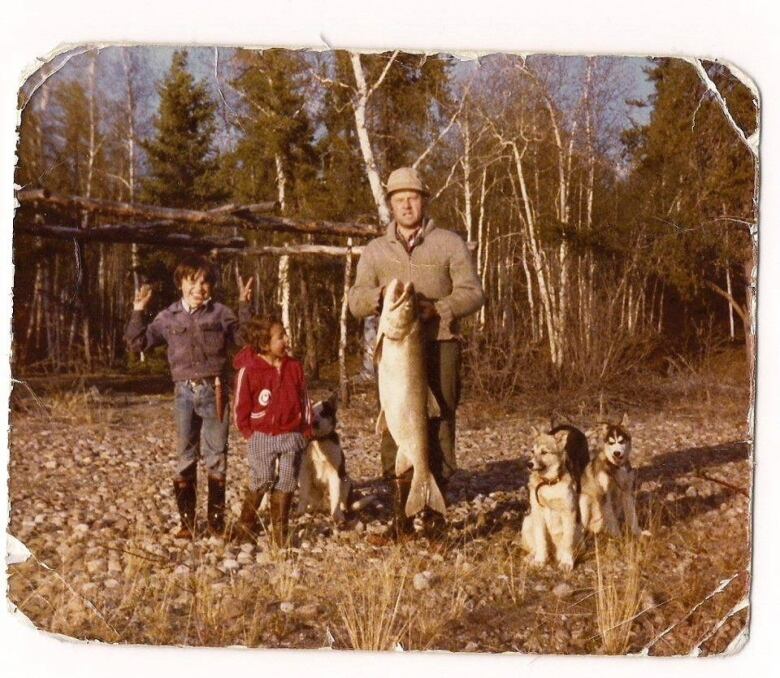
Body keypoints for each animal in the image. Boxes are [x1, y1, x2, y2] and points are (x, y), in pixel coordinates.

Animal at [520, 428, 588, 572]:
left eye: (544, 452)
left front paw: (567, 563)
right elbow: (541, 540)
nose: (529, 464)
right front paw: (539, 561)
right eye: (532, 451)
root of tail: (553, 552)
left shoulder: (568, 512)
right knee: (534, 547)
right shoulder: (537, 511)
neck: (549, 483)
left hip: (580, 525)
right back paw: (532, 557)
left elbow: (567, 542)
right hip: (528, 521)